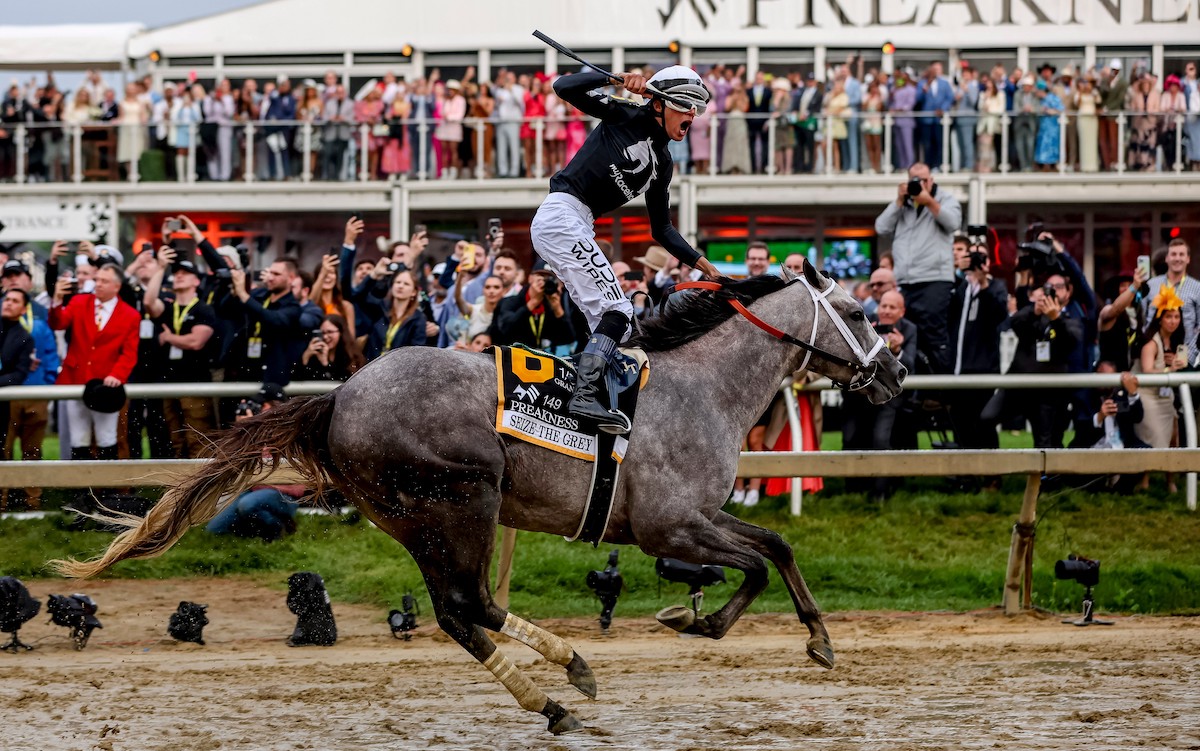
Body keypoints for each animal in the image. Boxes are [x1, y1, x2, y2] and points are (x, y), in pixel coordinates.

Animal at [54, 256, 902, 729]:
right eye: (857, 312)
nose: (894, 371)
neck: (704, 386)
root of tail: (339, 396)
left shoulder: (696, 516)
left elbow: (775, 544)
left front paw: (816, 636)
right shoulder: (669, 526)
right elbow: (755, 563)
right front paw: (702, 620)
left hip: (414, 516)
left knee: (463, 610)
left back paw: (561, 682)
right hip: (461, 500)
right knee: (464, 605)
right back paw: (558, 687)